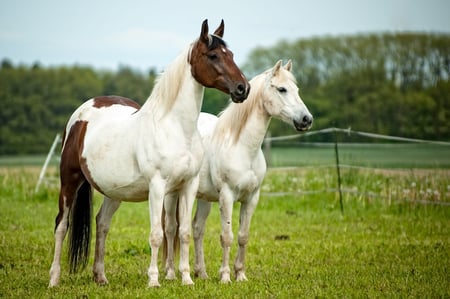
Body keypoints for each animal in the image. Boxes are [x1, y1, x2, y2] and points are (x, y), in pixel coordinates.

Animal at [50, 19, 253, 290]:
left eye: (230, 54)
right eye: (213, 56)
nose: (243, 88)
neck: (176, 128)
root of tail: (80, 116)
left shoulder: (188, 186)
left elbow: (184, 232)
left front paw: (187, 278)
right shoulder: (157, 187)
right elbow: (157, 234)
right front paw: (154, 280)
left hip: (114, 192)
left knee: (102, 224)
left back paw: (100, 277)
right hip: (69, 181)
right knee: (61, 225)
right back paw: (54, 278)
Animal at [191, 59, 312, 284]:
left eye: (297, 90)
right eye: (282, 89)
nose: (306, 120)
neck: (242, 148)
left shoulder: (251, 198)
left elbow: (243, 236)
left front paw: (240, 275)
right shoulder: (227, 197)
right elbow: (226, 237)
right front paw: (225, 277)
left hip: (204, 198)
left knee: (197, 229)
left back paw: (201, 273)